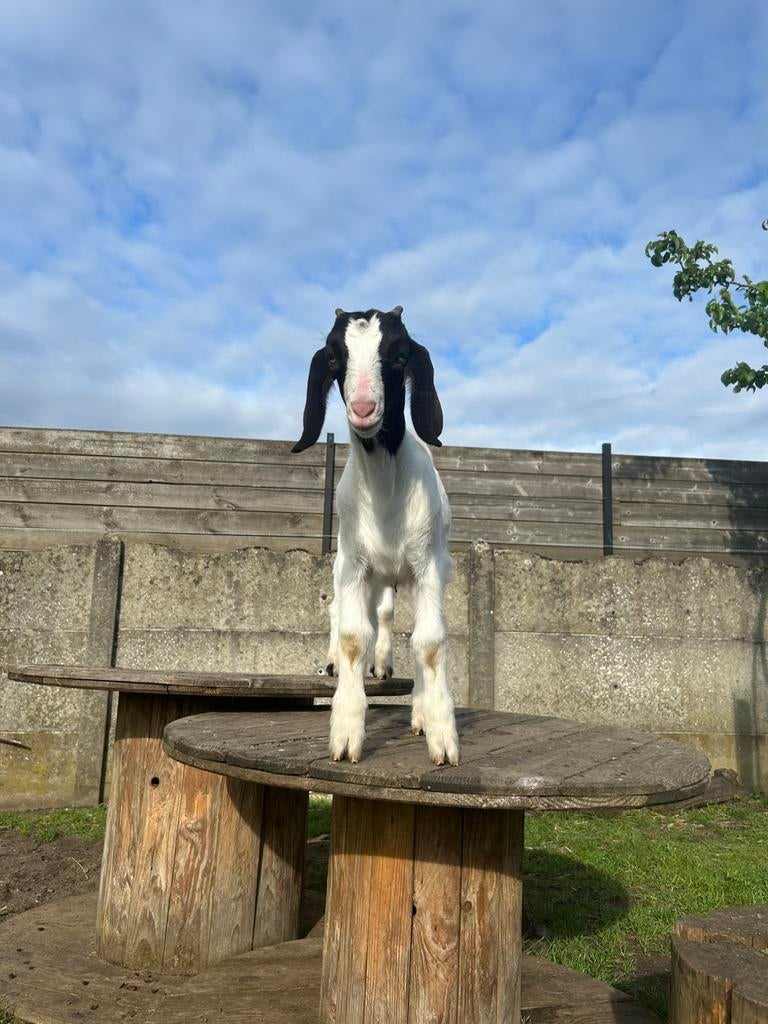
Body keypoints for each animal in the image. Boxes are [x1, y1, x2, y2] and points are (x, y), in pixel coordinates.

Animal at [292, 306, 459, 766]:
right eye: (334, 358)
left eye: (400, 356)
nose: (364, 408)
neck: (386, 485)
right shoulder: (354, 565)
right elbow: (352, 638)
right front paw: (346, 732)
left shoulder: (429, 567)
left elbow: (429, 641)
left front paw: (438, 727)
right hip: (349, 566)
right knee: (341, 613)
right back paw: (336, 662)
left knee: (388, 617)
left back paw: (395, 679)